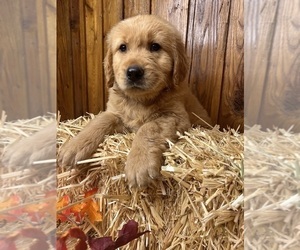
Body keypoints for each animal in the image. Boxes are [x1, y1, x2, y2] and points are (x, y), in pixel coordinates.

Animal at [58, 14, 212, 187]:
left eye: (155, 46)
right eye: (123, 47)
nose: (133, 72)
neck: (138, 100)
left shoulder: (175, 117)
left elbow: (148, 128)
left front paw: (139, 164)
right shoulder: (115, 112)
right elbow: (100, 121)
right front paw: (74, 146)